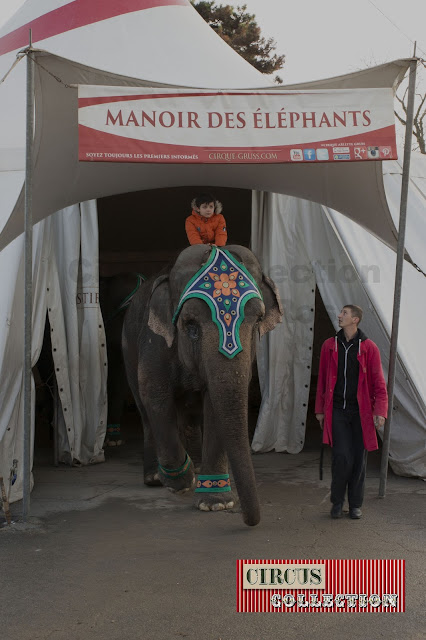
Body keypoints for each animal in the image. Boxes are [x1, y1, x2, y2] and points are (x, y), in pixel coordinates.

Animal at [122, 245, 282, 524]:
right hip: (127, 349)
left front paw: (216, 503)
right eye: (190, 325)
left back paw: (196, 467)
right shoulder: (153, 343)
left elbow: (214, 403)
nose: (251, 521)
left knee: (191, 414)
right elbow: (155, 396)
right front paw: (181, 482)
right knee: (145, 411)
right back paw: (156, 477)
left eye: (258, 320)